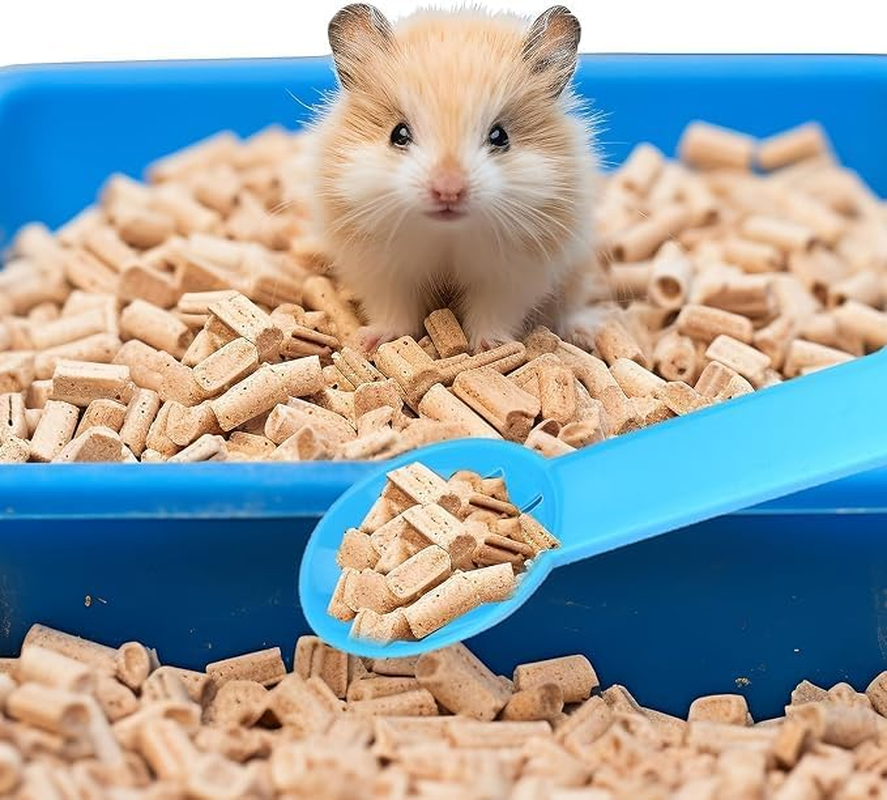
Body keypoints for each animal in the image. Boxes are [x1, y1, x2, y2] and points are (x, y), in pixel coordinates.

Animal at [309, 4, 606, 352]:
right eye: (398, 134)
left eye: (500, 136)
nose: (448, 192)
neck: (447, 234)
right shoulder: (383, 269)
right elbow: (395, 310)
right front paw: (370, 342)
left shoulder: (511, 274)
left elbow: (493, 312)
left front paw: (493, 348)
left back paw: (584, 333)